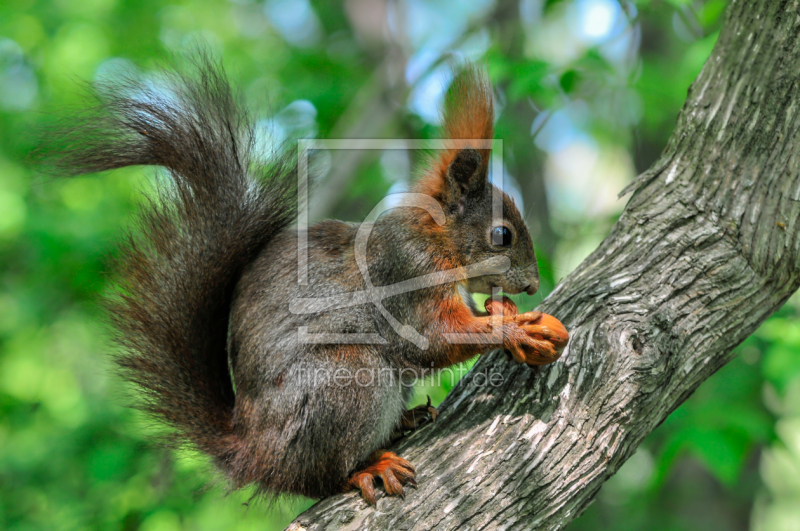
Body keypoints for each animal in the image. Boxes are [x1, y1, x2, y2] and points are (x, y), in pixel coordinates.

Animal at [45, 55, 568, 508]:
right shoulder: (405, 272)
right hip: (346, 377)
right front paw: (515, 329)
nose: (531, 284)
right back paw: (367, 467)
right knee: (318, 478)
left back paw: (406, 420)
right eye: (501, 235)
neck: (434, 235)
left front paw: (510, 316)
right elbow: (433, 338)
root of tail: (253, 453)